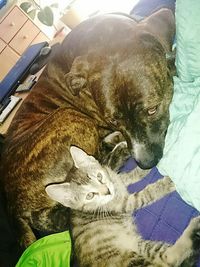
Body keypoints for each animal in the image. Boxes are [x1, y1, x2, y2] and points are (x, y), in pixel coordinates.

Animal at [0, 8, 175, 251]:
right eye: (113, 119)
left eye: (151, 110)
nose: (146, 163)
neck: (101, 35)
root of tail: (9, 204)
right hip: (68, 117)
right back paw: (118, 149)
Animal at [46, 148, 200, 266]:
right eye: (90, 195)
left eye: (99, 176)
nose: (107, 191)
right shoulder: (127, 203)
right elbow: (147, 194)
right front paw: (164, 185)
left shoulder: (116, 178)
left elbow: (128, 176)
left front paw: (143, 169)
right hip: (131, 259)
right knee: (168, 260)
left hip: (141, 246)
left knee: (168, 257)